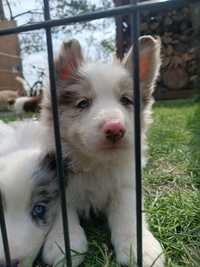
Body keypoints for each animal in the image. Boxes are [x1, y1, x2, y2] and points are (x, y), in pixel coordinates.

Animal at [40, 36, 164, 267]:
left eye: (126, 100)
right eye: (83, 103)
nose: (115, 129)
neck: (96, 164)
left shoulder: (126, 185)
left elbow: (128, 214)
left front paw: (139, 247)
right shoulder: (58, 180)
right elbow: (62, 213)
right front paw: (63, 244)